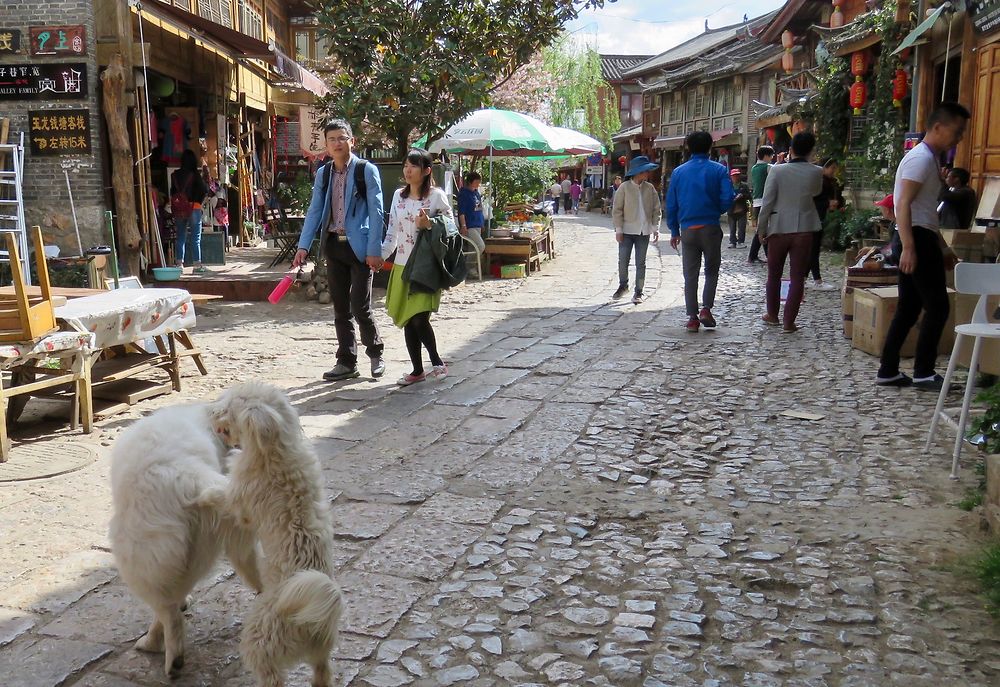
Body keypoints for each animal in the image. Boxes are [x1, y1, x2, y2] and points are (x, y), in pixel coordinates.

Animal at [205, 382, 342, 687]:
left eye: (231, 405)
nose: (211, 411)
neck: (276, 450)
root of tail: (309, 622)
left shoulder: (240, 501)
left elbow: (222, 492)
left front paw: (205, 489)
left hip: (260, 644)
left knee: (272, 677)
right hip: (321, 653)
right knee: (323, 673)